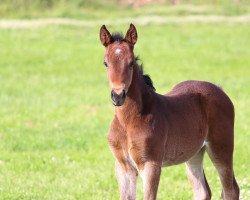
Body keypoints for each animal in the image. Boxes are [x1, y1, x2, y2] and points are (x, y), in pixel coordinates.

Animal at [98, 23, 239, 200]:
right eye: (105, 63)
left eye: (131, 63)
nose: (118, 96)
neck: (128, 121)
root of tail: (220, 90)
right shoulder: (123, 167)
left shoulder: (151, 165)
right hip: (194, 153)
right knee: (202, 191)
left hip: (221, 147)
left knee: (230, 190)